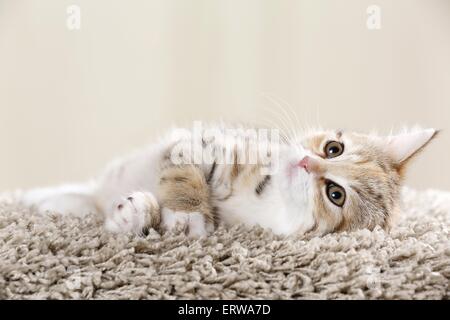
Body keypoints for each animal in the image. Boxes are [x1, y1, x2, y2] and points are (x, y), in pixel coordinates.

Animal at [22, 123, 440, 238]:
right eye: (334, 148)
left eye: (335, 194)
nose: (306, 162)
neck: (266, 199)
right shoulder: (201, 142)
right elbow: (183, 168)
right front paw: (186, 212)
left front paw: (139, 216)